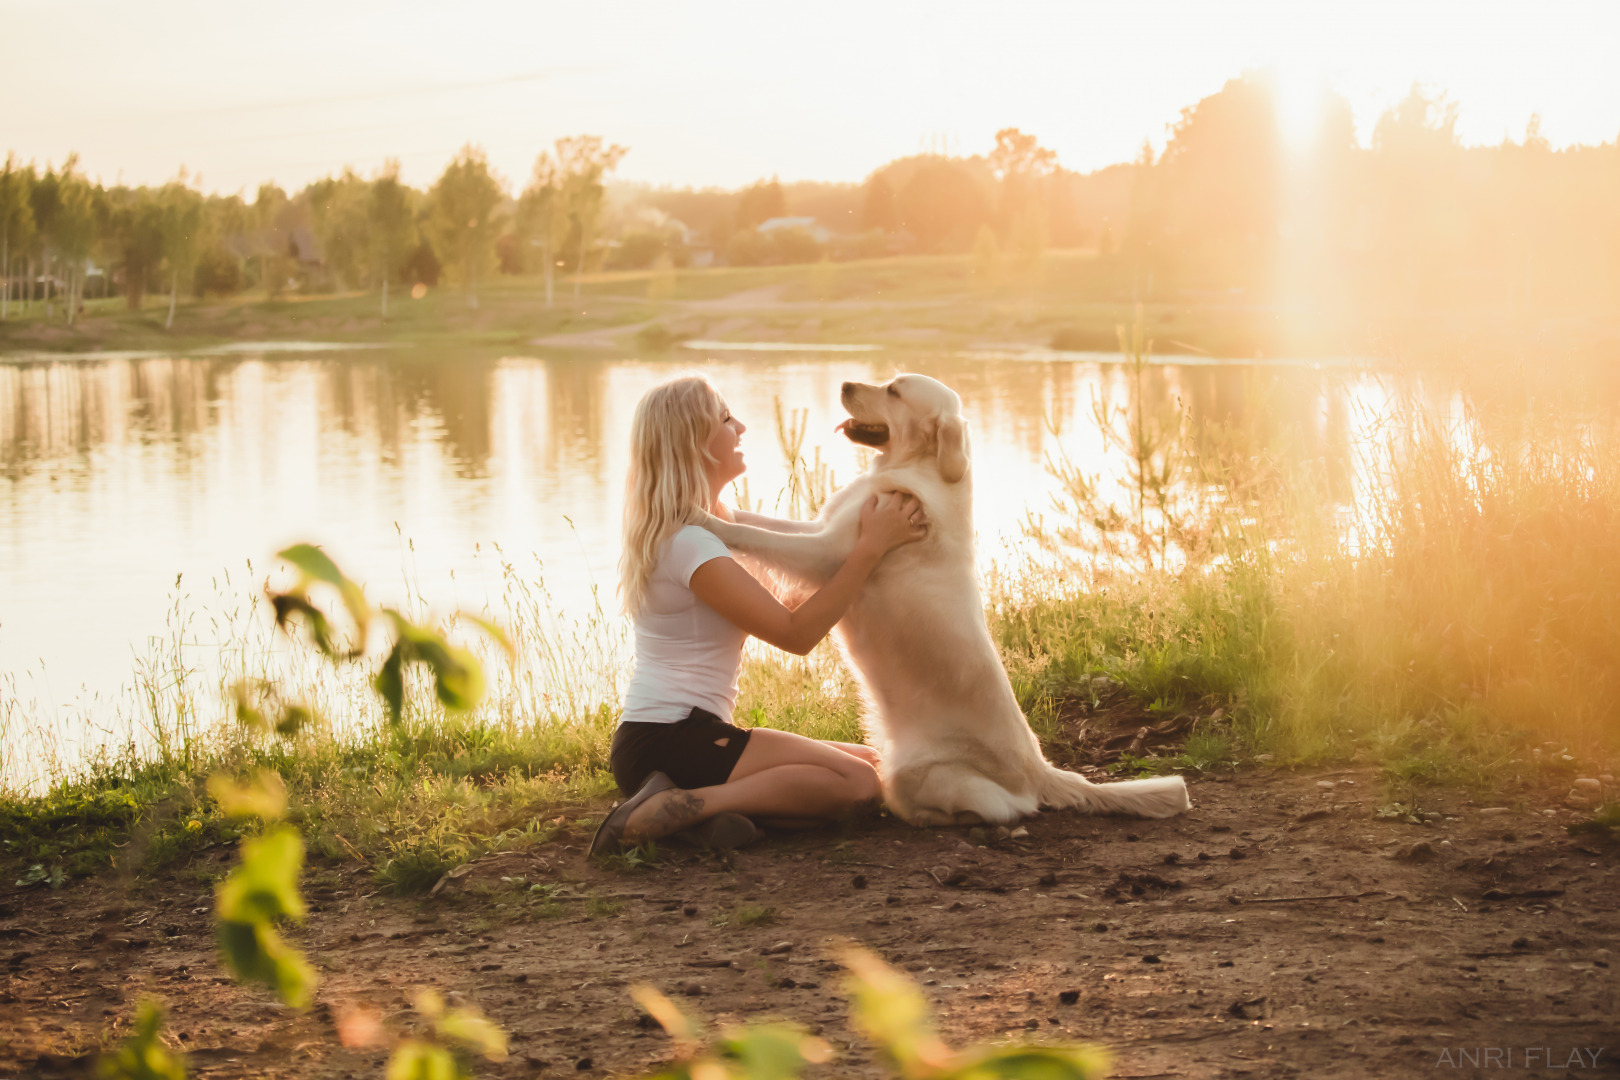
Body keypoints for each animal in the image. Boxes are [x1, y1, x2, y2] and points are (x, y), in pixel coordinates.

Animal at [696, 374, 1192, 829]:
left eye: (894, 391)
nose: (844, 383)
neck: (921, 467)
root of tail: (1041, 770)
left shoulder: (827, 555)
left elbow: (756, 536)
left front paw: (701, 517)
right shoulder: (820, 532)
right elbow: (760, 522)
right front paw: (716, 506)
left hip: (909, 772)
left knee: (1000, 810)